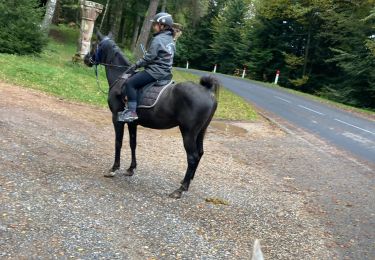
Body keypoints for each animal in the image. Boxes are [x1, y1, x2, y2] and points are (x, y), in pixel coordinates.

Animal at [84, 33, 220, 199]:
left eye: (95, 44)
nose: (86, 58)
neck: (121, 78)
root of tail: (207, 91)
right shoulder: (132, 123)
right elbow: (133, 143)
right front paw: (131, 169)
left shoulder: (116, 119)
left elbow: (118, 143)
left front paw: (114, 169)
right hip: (201, 132)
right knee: (200, 154)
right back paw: (185, 182)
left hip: (188, 132)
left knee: (192, 157)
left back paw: (180, 189)